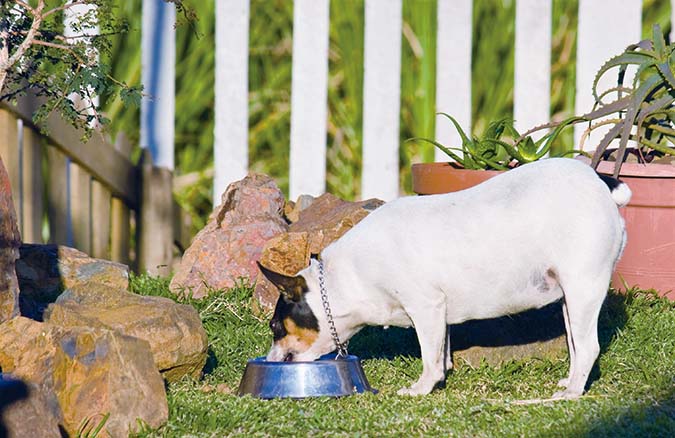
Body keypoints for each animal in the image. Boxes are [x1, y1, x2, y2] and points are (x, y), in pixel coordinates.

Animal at [262, 159, 632, 398]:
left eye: (275, 327)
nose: (269, 360)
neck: (347, 278)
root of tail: (599, 182)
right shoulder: (440, 316)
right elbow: (442, 353)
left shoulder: (425, 308)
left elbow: (430, 361)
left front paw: (421, 389)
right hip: (570, 300)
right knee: (577, 347)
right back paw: (570, 382)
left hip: (583, 289)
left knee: (588, 347)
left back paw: (572, 393)